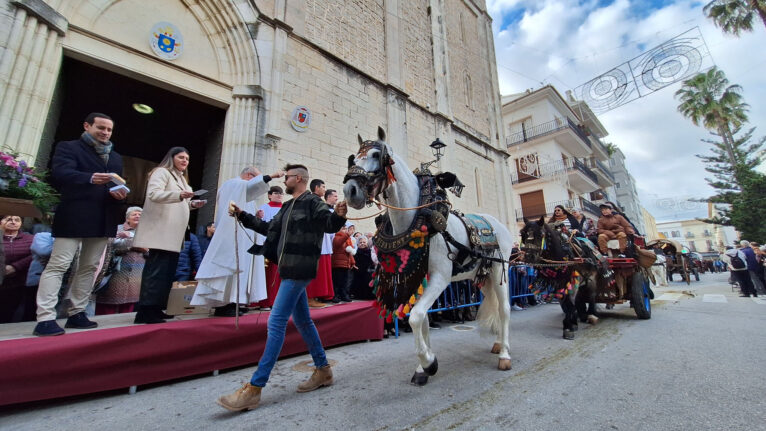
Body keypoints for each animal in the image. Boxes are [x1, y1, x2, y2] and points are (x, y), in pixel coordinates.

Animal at [344, 127, 512, 384]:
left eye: (376, 154)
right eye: (354, 158)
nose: (349, 190)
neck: (418, 220)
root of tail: (498, 224)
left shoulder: (440, 278)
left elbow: (415, 316)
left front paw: (428, 362)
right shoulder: (418, 278)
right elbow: (421, 319)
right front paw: (423, 368)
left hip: (499, 269)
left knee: (504, 308)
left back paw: (504, 353)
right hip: (481, 277)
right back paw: (498, 343)